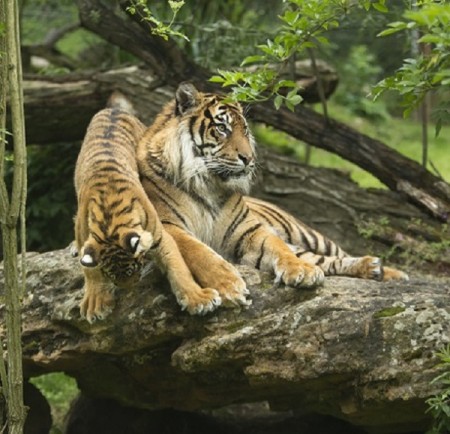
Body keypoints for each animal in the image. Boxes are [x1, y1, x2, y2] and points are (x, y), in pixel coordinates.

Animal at [74, 106, 225, 322]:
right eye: (111, 276)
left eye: (135, 268)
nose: (129, 289)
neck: (110, 219)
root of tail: (114, 109)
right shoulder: (82, 233)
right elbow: (89, 269)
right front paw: (95, 304)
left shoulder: (159, 236)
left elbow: (178, 268)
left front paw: (200, 300)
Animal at [137, 82, 408, 306]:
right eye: (222, 128)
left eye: (245, 131)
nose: (249, 159)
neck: (209, 185)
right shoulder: (168, 225)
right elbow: (201, 252)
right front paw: (230, 287)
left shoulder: (249, 230)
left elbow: (278, 247)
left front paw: (301, 270)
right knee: (325, 261)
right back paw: (375, 269)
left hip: (309, 235)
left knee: (334, 255)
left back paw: (385, 270)